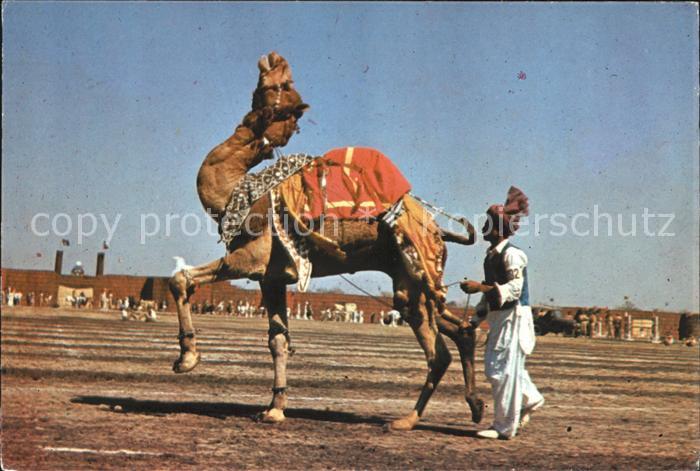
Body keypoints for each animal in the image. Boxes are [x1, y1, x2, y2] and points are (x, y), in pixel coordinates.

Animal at [169, 52, 484, 430]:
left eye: (276, 88)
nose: (270, 60)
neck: (237, 191)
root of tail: (438, 229)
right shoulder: (272, 278)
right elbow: (278, 340)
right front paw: (275, 408)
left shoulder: (249, 259)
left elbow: (180, 278)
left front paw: (186, 359)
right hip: (412, 281)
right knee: (460, 329)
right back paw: (475, 405)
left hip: (414, 275)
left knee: (438, 353)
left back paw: (406, 420)